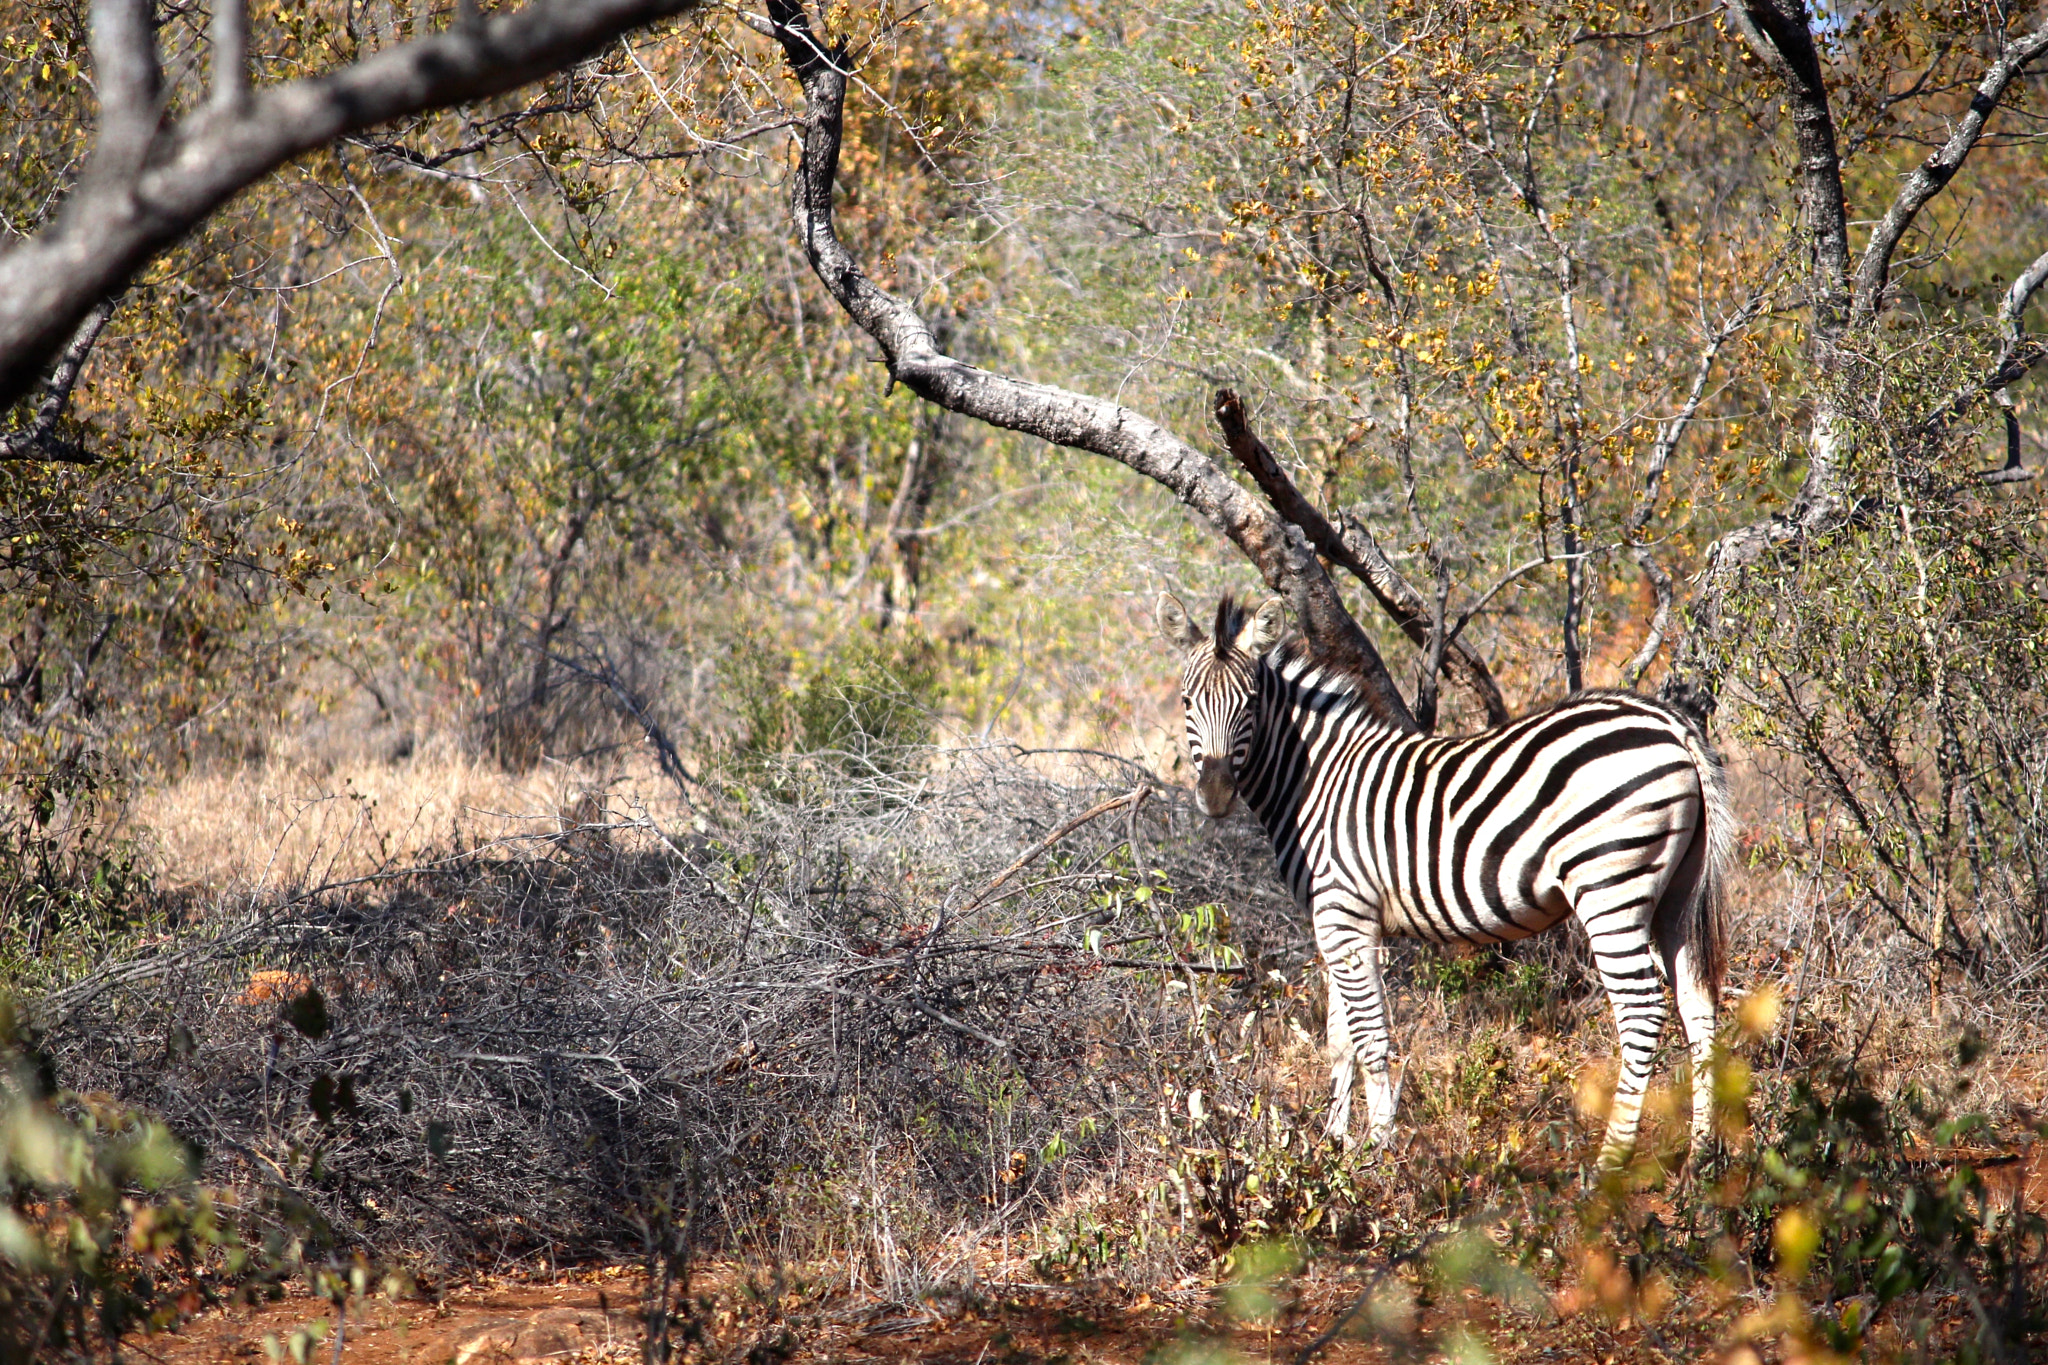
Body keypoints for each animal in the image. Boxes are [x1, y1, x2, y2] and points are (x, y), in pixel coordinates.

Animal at [1157, 593, 1733, 1167]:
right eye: (1186, 702)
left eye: (1250, 703)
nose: (1214, 796)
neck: (1318, 780)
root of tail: (1668, 721)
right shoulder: (1336, 921)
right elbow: (1339, 1040)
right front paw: (1335, 1146)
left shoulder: (1345, 913)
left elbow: (1369, 1037)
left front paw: (1377, 1151)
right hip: (1675, 891)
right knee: (1699, 1005)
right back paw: (1702, 1153)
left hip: (1609, 885)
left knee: (1642, 1012)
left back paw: (1610, 1161)